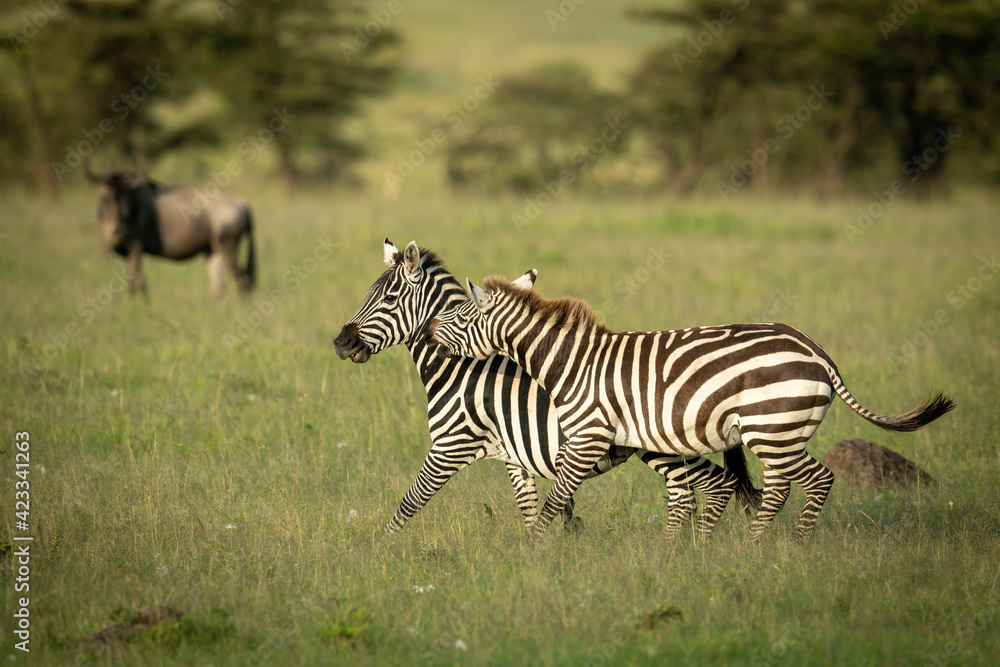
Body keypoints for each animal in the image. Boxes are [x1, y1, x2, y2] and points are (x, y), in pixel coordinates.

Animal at [334, 240, 760, 534]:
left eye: (389, 297)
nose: (341, 343)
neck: (462, 369)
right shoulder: (512, 455)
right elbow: (529, 507)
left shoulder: (452, 445)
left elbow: (409, 503)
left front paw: (379, 552)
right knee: (688, 490)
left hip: (660, 445)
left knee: (707, 485)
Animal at [427, 273, 955, 541]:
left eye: (456, 315)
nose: (429, 332)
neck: (572, 363)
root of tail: (816, 350)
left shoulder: (588, 436)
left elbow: (556, 498)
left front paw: (533, 550)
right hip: (780, 432)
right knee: (782, 486)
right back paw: (756, 545)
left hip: (773, 428)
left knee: (814, 480)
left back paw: (773, 547)